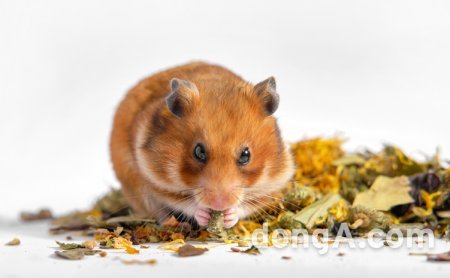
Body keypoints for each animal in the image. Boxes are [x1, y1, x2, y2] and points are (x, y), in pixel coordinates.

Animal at [110, 61, 294, 228]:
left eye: (245, 155)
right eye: (198, 152)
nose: (219, 204)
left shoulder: (271, 185)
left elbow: (247, 206)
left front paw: (229, 216)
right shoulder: (154, 178)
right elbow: (187, 203)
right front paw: (204, 213)